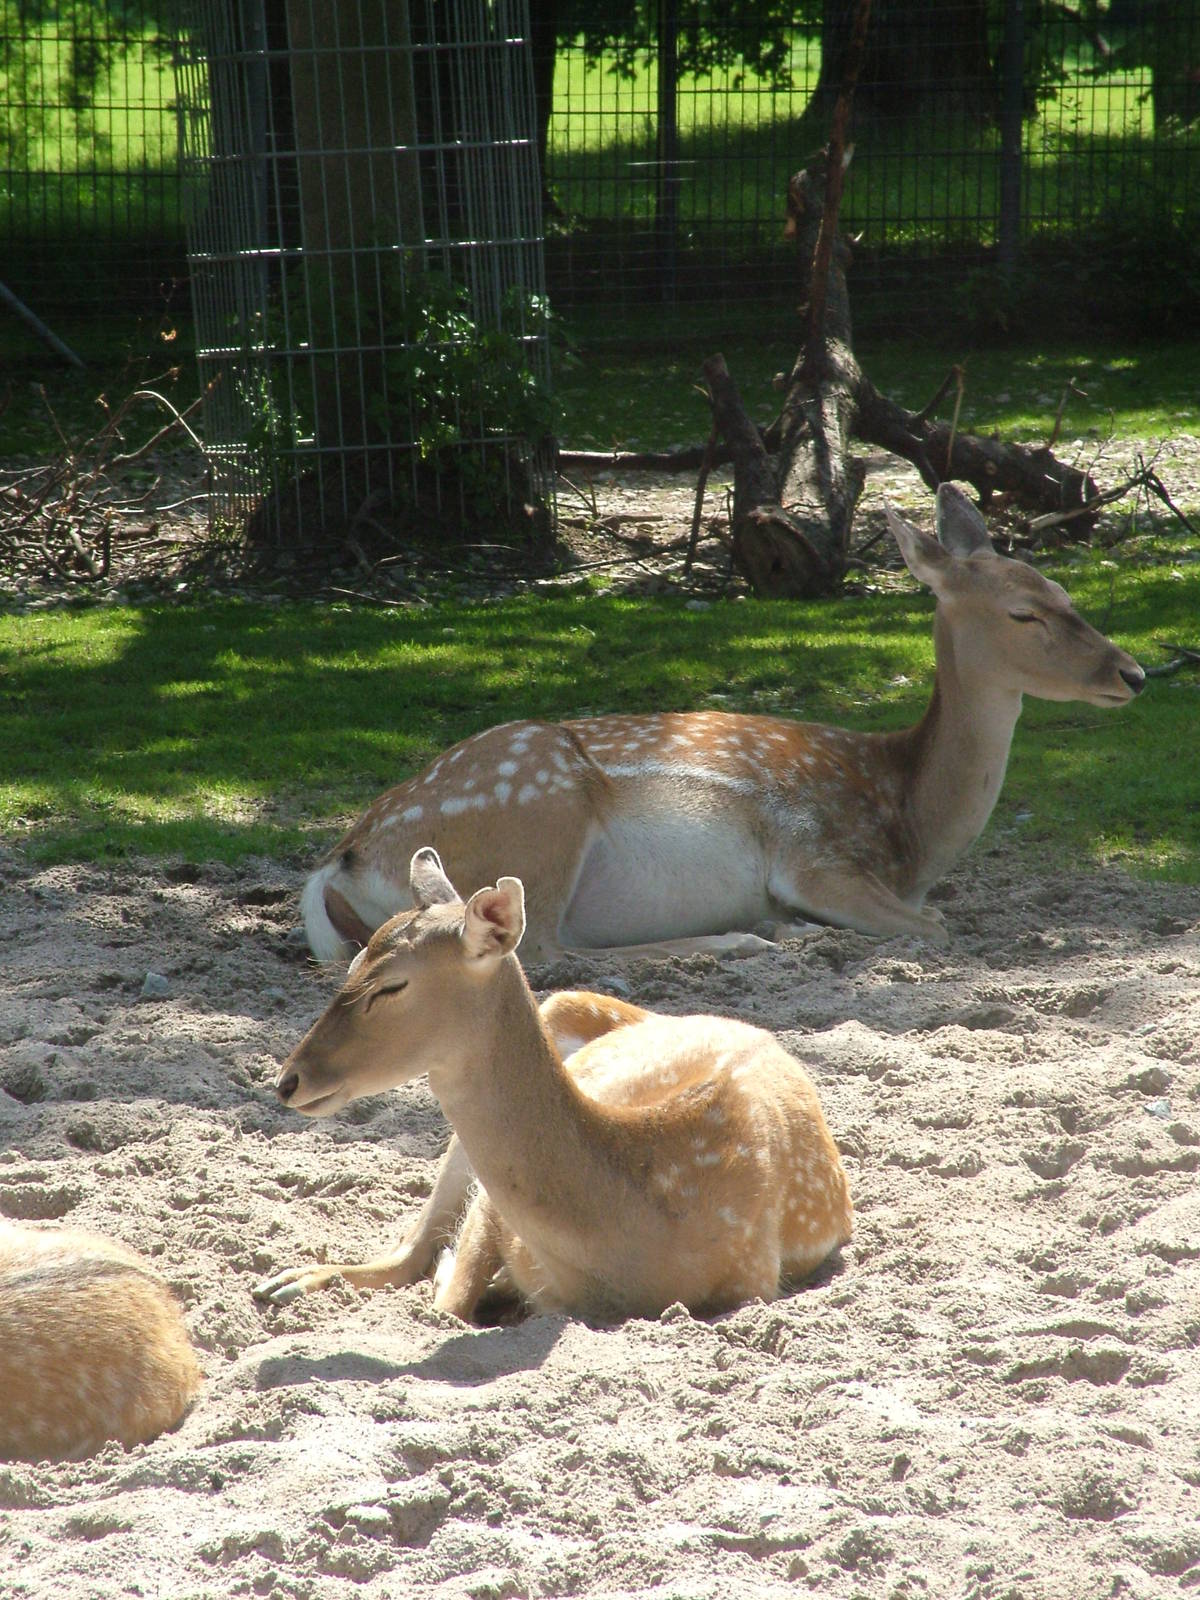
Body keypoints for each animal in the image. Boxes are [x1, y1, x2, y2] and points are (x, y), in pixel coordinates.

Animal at [254, 848, 853, 1322]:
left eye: (392, 985)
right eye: (354, 958)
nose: (288, 1079)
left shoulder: (753, 1280)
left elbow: (450, 1302)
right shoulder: (490, 1209)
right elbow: (451, 1294)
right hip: (555, 1010)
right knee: (409, 1250)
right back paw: (286, 1280)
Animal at [301, 484, 1146, 965]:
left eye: (1064, 590)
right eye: (1024, 612)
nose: (1132, 674)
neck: (908, 820)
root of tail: (340, 862)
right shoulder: (814, 854)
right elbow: (933, 926)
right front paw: (801, 926)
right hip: (538, 816)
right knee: (544, 952)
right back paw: (748, 938)